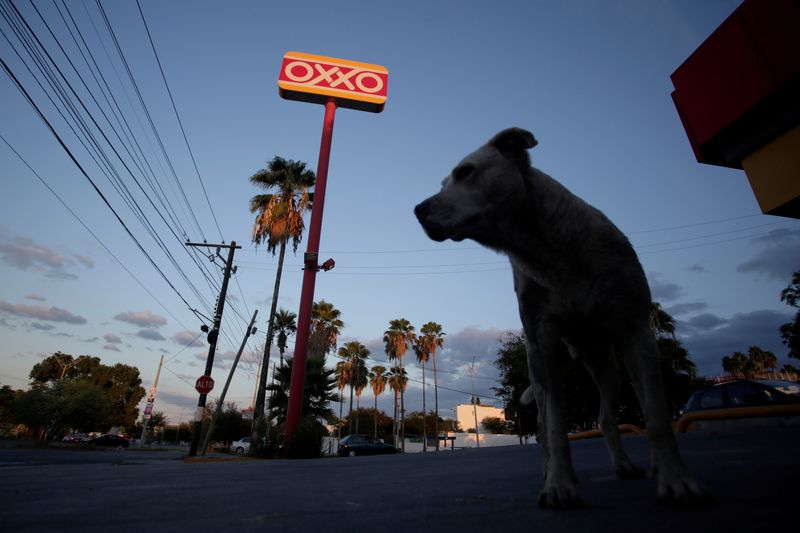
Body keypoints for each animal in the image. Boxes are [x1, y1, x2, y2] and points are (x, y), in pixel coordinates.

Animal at [416, 128, 708, 508]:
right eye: (443, 183)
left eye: (465, 172)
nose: (418, 210)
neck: (544, 249)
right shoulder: (541, 345)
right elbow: (555, 428)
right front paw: (558, 485)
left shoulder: (636, 330)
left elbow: (657, 415)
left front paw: (676, 479)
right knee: (548, 424)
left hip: (610, 366)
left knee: (615, 413)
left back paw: (633, 464)